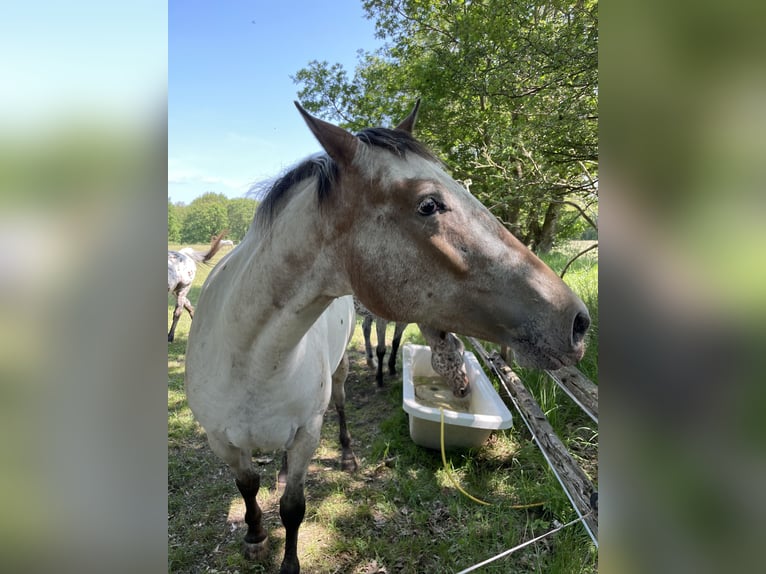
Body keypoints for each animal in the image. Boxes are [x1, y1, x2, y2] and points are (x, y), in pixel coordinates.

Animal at [183, 101, 592, 572]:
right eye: (429, 204)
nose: (577, 321)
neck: (252, 360)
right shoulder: (221, 440)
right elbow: (248, 485)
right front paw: (253, 535)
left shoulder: (306, 433)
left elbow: (293, 507)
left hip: (338, 376)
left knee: (340, 406)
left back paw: (345, 454)